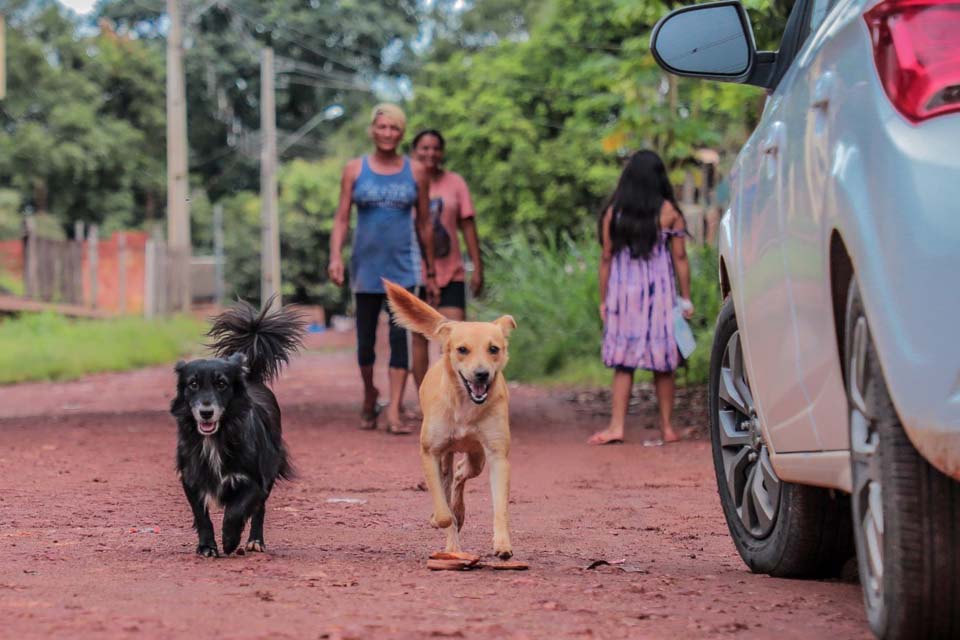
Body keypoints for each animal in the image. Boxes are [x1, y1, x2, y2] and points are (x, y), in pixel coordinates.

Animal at [172, 298, 304, 556]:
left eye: (221, 384)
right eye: (193, 384)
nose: (206, 412)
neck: (217, 437)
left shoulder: (254, 478)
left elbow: (237, 510)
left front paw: (230, 539)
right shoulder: (191, 477)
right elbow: (201, 515)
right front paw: (207, 546)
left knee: (260, 509)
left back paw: (255, 541)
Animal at [382, 278, 516, 556]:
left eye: (494, 349)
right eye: (462, 349)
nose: (481, 374)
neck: (465, 405)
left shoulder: (497, 455)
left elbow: (500, 507)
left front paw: (502, 543)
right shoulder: (430, 453)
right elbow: (444, 513)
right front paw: (437, 518)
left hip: (476, 457)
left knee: (460, 474)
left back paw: (460, 514)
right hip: (446, 455)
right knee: (448, 484)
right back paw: (452, 543)